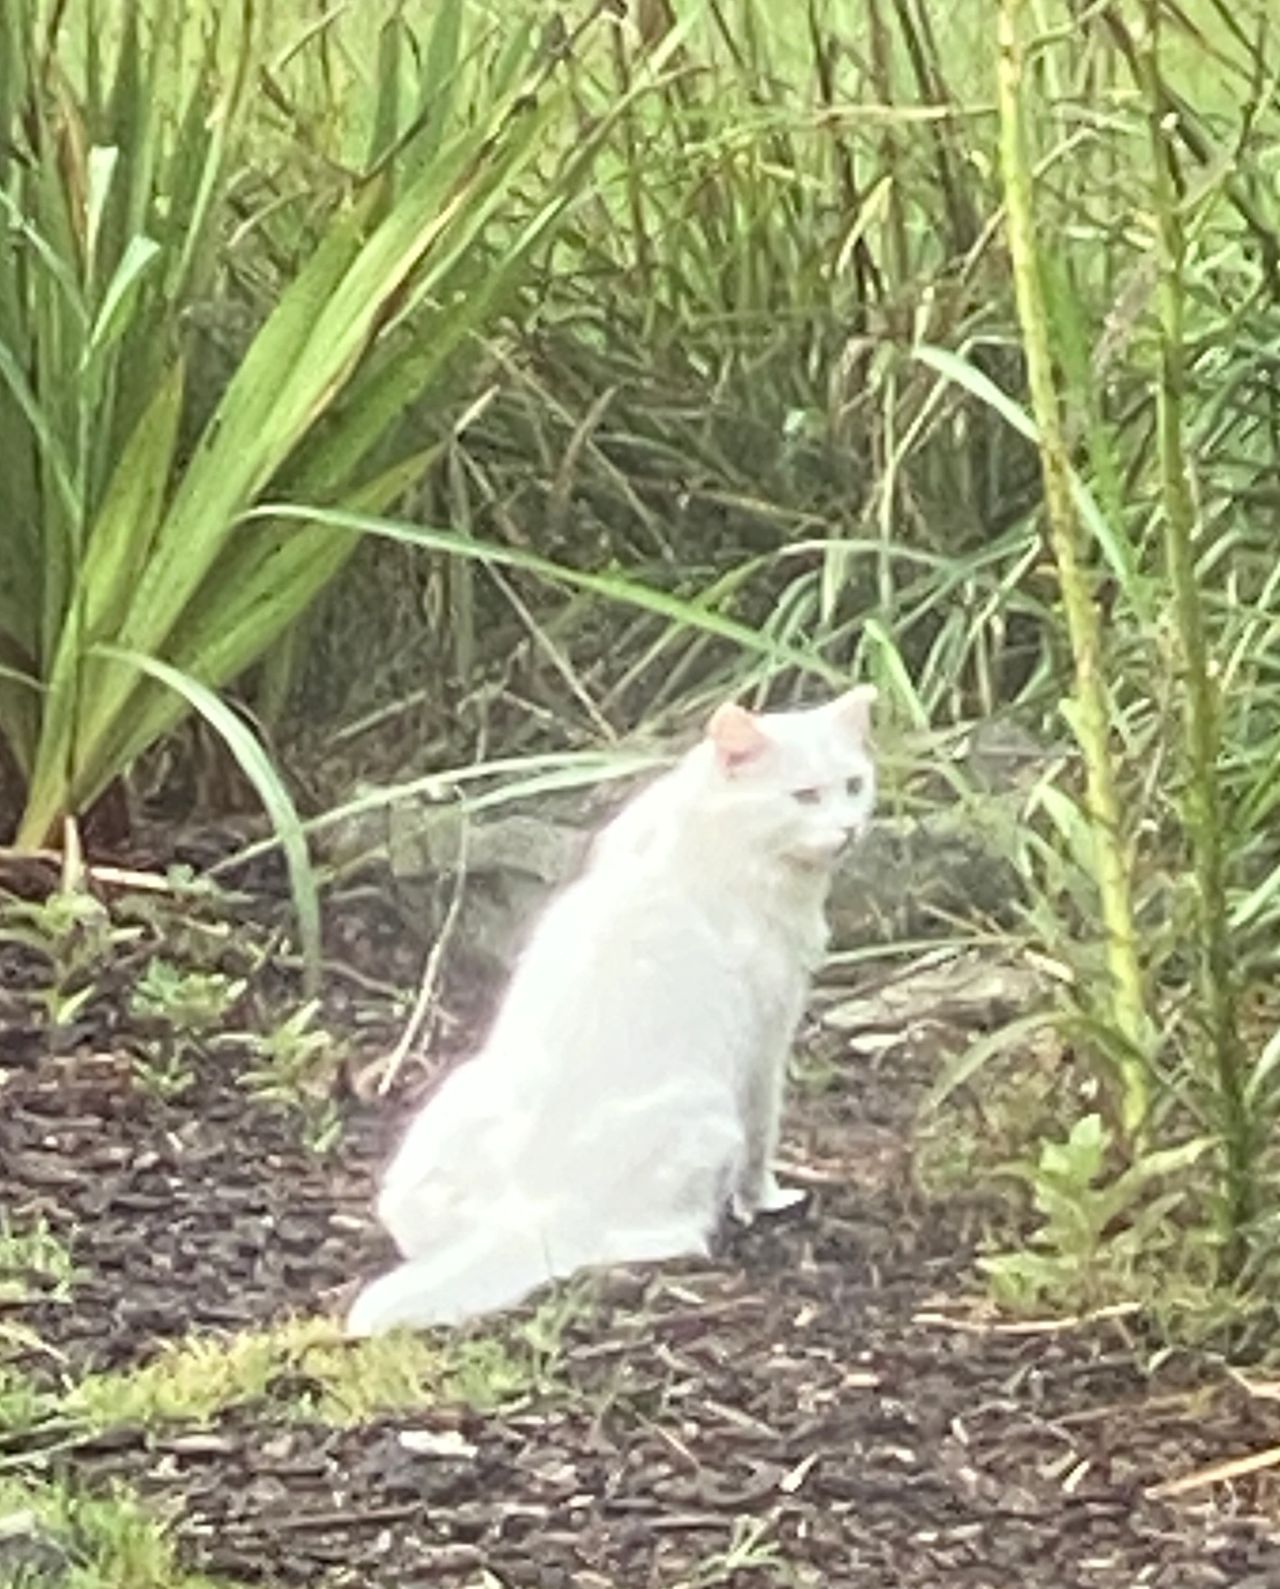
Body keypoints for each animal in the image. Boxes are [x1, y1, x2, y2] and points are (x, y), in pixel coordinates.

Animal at [346, 689, 876, 1334]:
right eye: (805, 796)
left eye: (854, 785)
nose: (849, 827)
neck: (710, 832)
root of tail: (537, 1205)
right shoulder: (766, 1041)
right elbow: (764, 1135)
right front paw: (768, 1200)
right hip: (709, 1116)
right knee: (663, 1238)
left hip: (464, 1097)